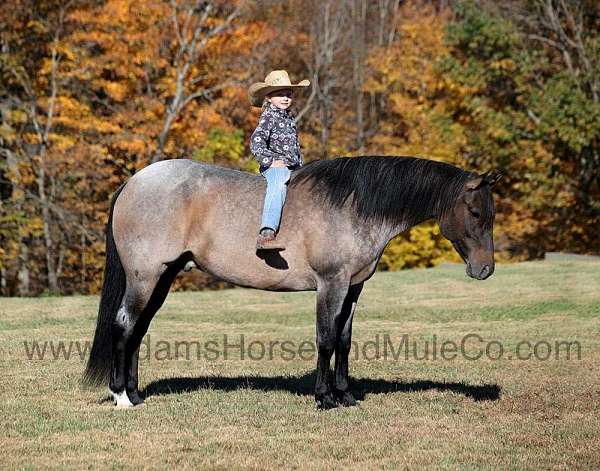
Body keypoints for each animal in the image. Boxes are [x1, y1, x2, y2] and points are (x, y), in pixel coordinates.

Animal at [82, 156, 500, 410]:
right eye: (475, 212)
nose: (485, 270)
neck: (352, 207)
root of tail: (134, 182)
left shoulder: (353, 288)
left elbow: (344, 341)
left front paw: (346, 396)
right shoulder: (331, 285)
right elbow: (326, 339)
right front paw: (324, 398)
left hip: (163, 277)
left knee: (138, 331)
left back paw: (135, 394)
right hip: (145, 277)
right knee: (124, 326)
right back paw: (121, 397)